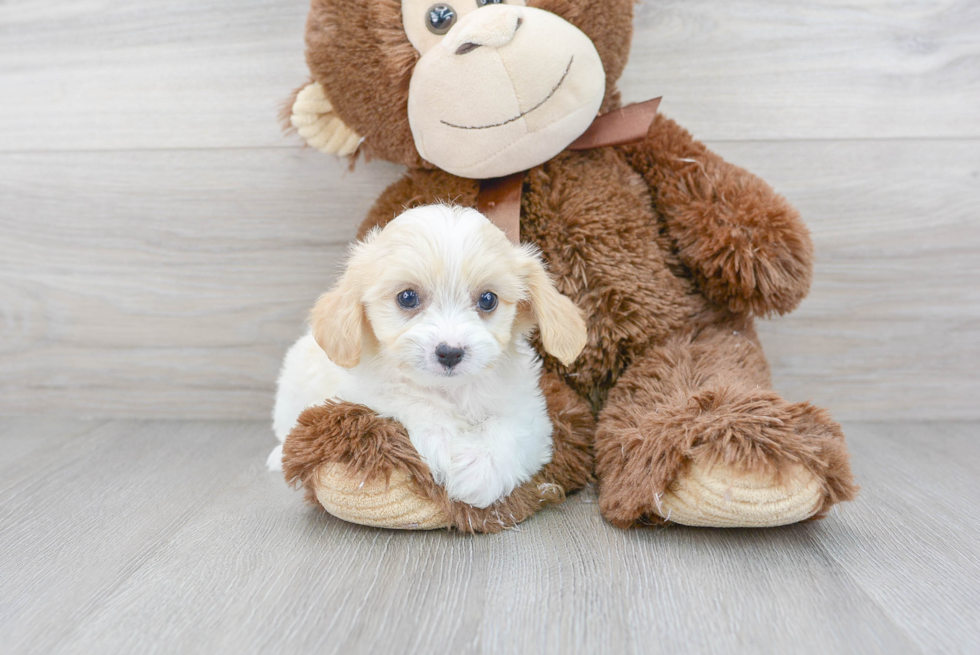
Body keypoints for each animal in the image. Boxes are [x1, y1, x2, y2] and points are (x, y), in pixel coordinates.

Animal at [268, 205, 584, 508]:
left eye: (488, 300)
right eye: (407, 297)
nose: (450, 352)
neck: (449, 389)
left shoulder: (530, 414)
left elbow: (511, 430)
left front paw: (478, 470)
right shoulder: (362, 391)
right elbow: (408, 398)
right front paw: (444, 442)